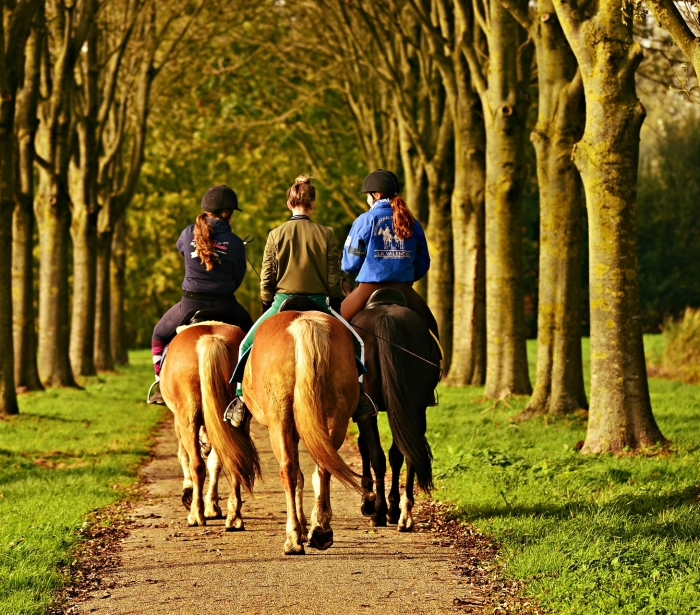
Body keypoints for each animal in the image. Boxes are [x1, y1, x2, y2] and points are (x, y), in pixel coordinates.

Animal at [160, 324, 262, 532]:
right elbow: (215, 462)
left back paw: (195, 515)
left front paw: (189, 493)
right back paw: (234, 517)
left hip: (188, 419)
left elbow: (183, 455)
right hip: (237, 421)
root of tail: (211, 339)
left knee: (197, 464)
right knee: (234, 459)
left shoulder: (178, 420)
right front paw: (213, 507)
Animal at [242, 310, 364, 556]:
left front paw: (300, 527)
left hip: (279, 421)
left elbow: (297, 475)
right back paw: (321, 530)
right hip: (336, 418)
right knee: (324, 467)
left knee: (288, 470)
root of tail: (304, 321)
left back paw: (293, 537)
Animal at [352, 304, 440, 528]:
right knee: (406, 453)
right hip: (414, 407)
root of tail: (386, 317)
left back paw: (379, 512)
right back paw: (402, 513)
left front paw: (368, 501)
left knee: (378, 456)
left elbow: (365, 447)